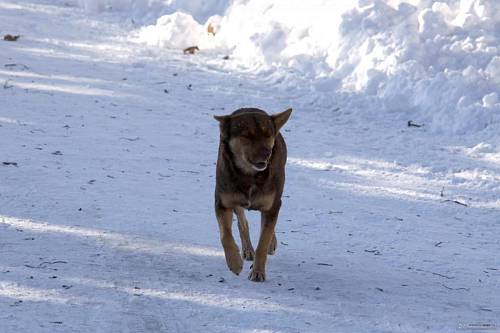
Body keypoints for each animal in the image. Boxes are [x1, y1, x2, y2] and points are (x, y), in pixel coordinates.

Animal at [213, 106, 292, 280]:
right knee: (242, 223)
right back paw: (247, 249)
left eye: (268, 135)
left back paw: (271, 243)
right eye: (246, 136)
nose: (267, 153)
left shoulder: (273, 204)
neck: (249, 175)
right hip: (236, 201)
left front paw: (258, 271)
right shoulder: (223, 202)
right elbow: (224, 234)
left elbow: (263, 241)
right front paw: (235, 263)